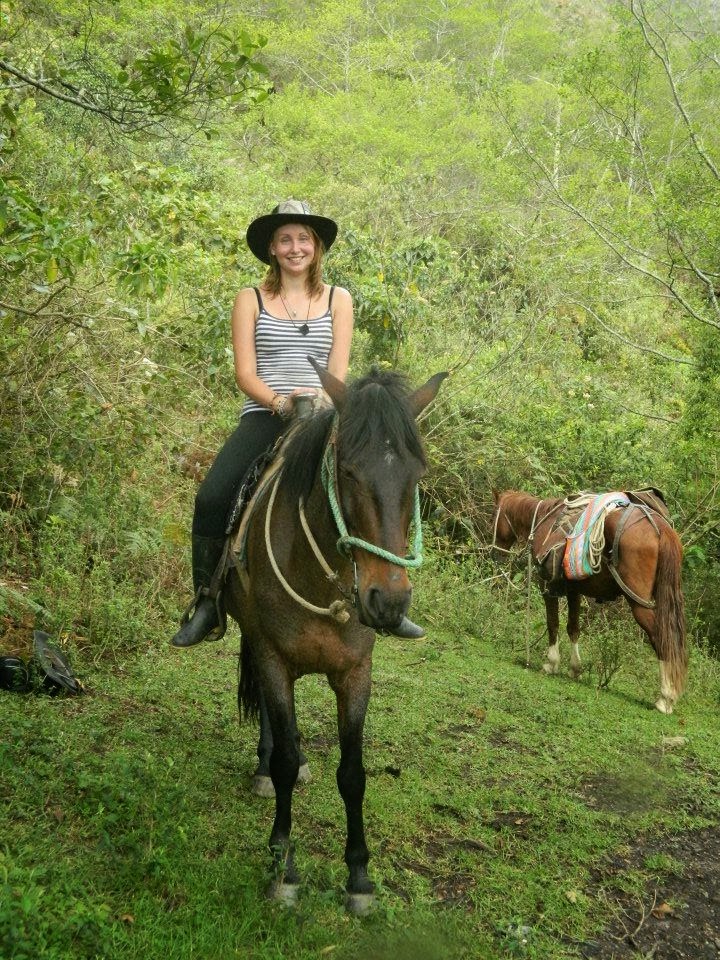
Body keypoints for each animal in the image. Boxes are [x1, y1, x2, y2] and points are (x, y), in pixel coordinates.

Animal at [228, 362, 448, 916]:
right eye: (347, 471)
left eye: (416, 476)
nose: (388, 602)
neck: (321, 577)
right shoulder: (273, 656)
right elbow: (284, 760)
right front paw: (282, 868)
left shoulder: (355, 674)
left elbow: (353, 774)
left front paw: (359, 878)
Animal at [492, 492, 688, 716]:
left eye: (494, 516)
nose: (494, 554)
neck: (542, 520)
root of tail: (662, 529)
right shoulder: (574, 590)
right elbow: (573, 628)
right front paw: (575, 669)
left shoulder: (547, 585)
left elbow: (553, 623)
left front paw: (551, 663)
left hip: (638, 602)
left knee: (661, 638)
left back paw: (665, 698)